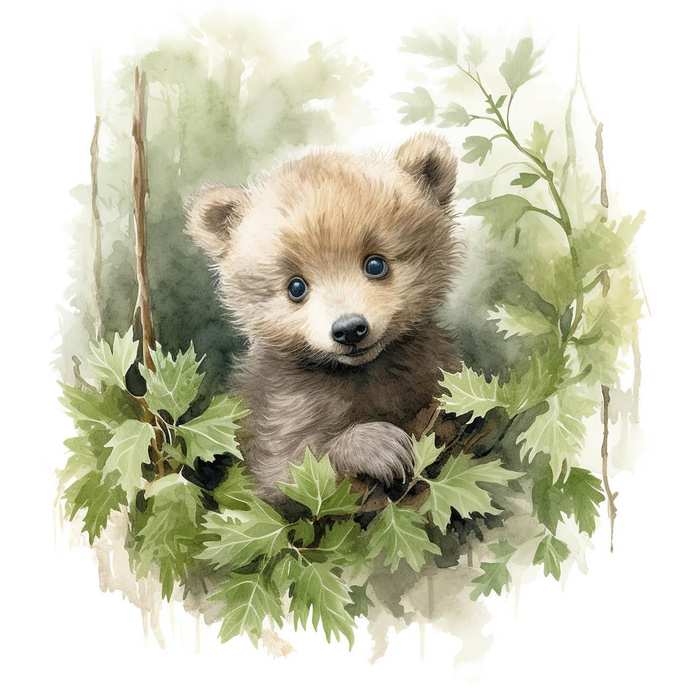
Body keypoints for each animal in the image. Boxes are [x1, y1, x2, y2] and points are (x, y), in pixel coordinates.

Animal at [186, 132, 462, 503]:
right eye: (296, 287)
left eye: (376, 264)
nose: (349, 329)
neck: (361, 374)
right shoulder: (278, 412)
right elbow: (290, 473)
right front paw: (376, 446)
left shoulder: (432, 370)